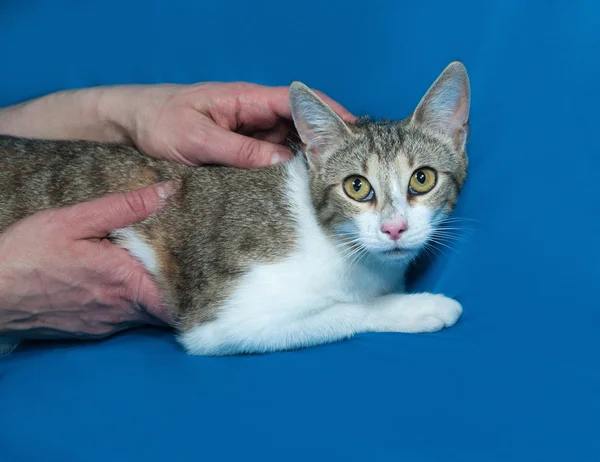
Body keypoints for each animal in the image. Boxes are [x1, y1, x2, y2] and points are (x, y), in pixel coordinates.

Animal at [0, 62, 472, 358]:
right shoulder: (219, 323)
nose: (394, 228)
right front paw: (416, 308)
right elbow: (344, 312)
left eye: (422, 179)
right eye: (357, 187)